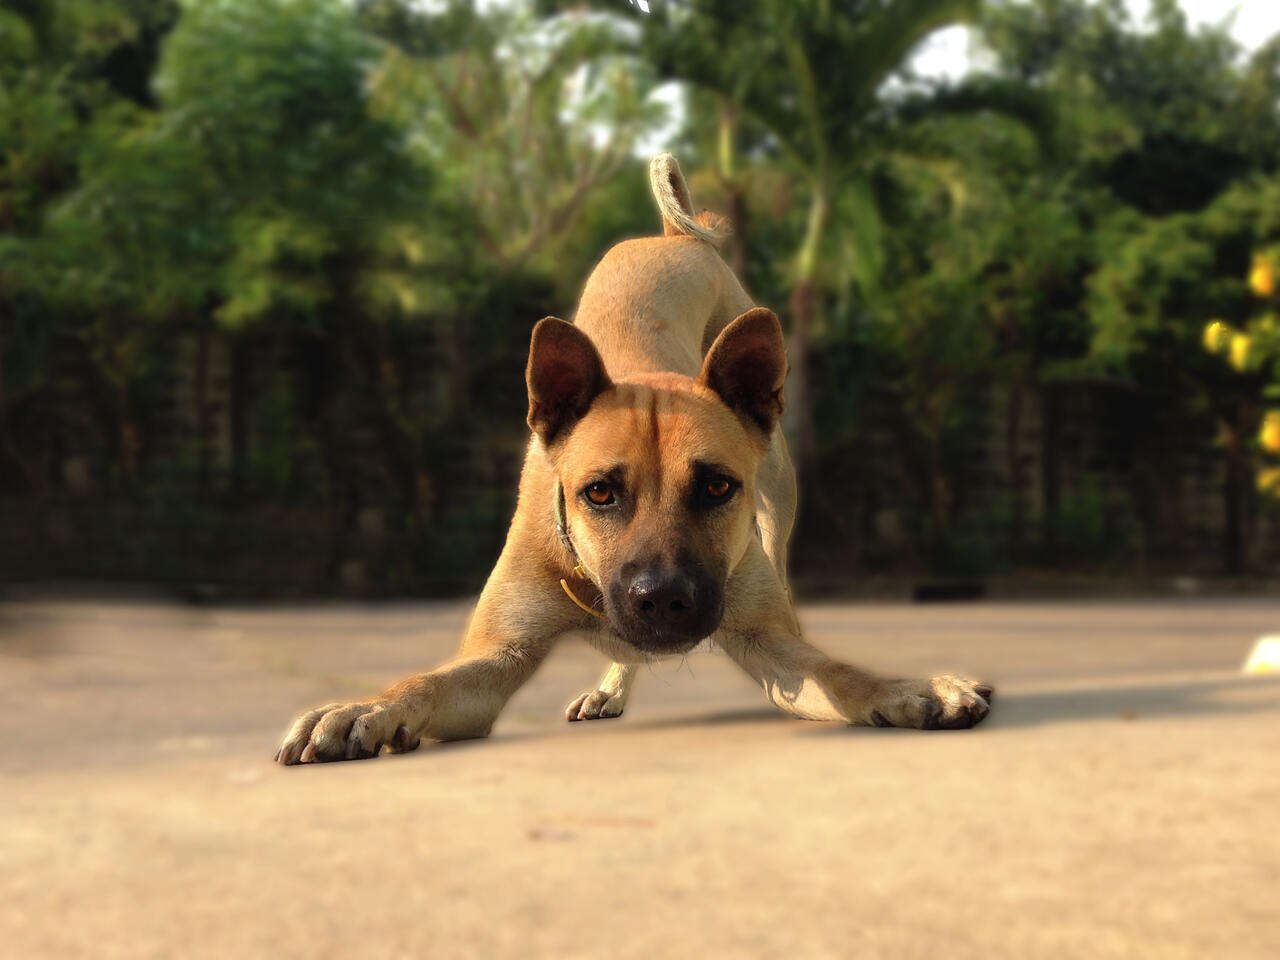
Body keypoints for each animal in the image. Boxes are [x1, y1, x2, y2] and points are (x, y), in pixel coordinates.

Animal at [275, 156, 993, 768]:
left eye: (717, 487)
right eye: (598, 493)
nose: (664, 600)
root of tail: (673, 238)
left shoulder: (771, 643)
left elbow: (837, 671)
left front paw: (907, 688)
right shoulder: (494, 657)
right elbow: (424, 682)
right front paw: (365, 708)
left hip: (778, 501)